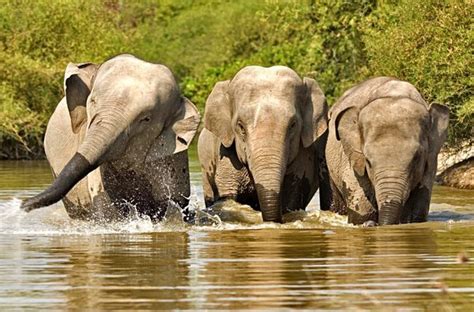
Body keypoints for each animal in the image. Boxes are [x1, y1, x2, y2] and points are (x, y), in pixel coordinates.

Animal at [322, 77, 448, 225]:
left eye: (416, 159)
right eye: (368, 162)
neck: (395, 95)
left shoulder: (431, 160)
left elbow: (418, 213)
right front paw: (367, 222)